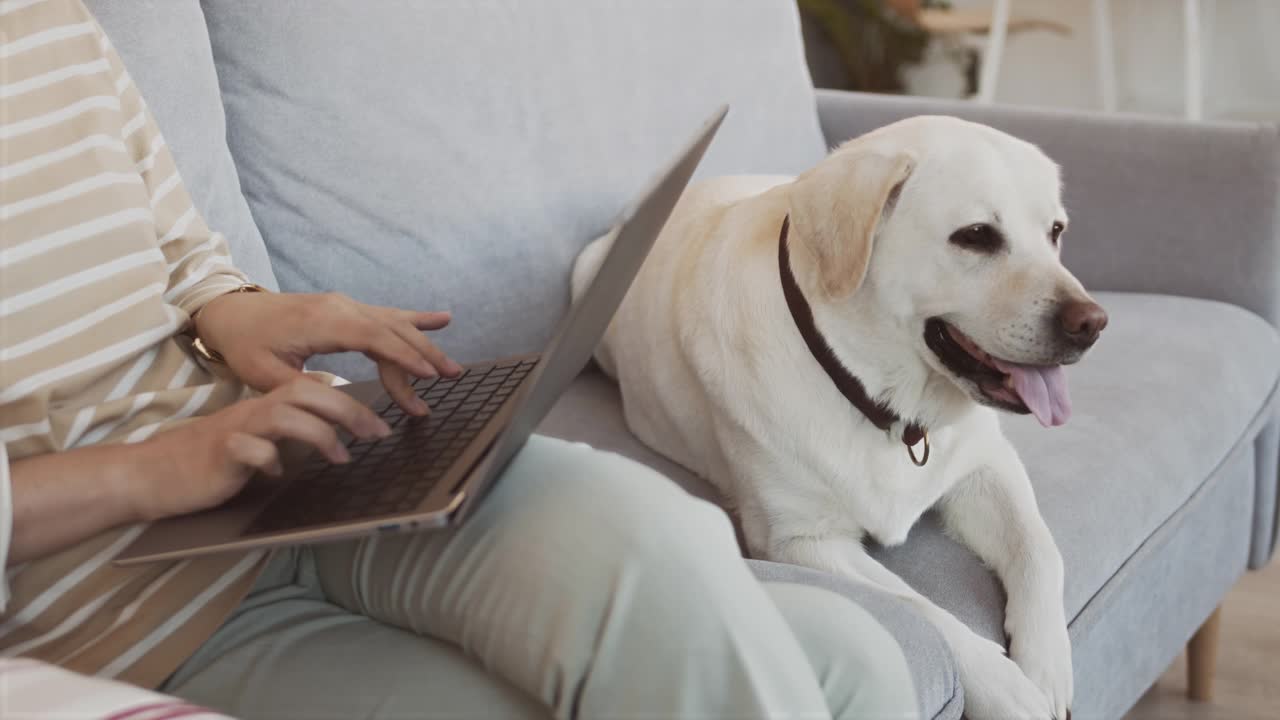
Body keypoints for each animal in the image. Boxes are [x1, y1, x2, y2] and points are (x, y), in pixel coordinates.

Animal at [573, 114, 1111, 712]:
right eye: (976, 236)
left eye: (1055, 232)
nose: (1091, 324)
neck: (883, 399)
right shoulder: (801, 540)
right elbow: (919, 610)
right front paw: (1007, 688)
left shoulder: (984, 465)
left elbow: (1040, 550)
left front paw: (1046, 665)